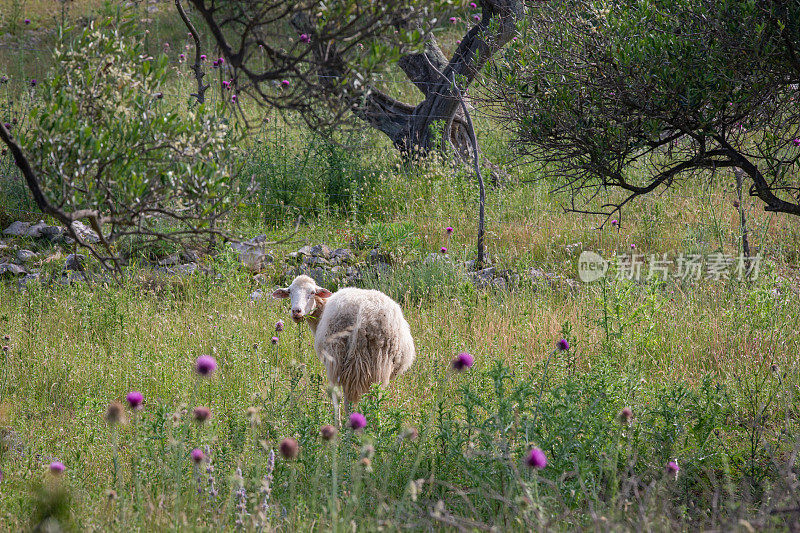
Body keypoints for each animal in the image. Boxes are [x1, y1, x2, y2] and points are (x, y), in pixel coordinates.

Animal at [272, 274, 416, 420]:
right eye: (290, 292)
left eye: (312, 292)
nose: (296, 311)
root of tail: (365, 313)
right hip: (378, 363)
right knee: (374, 398)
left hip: (339, 357)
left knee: (341, 397)